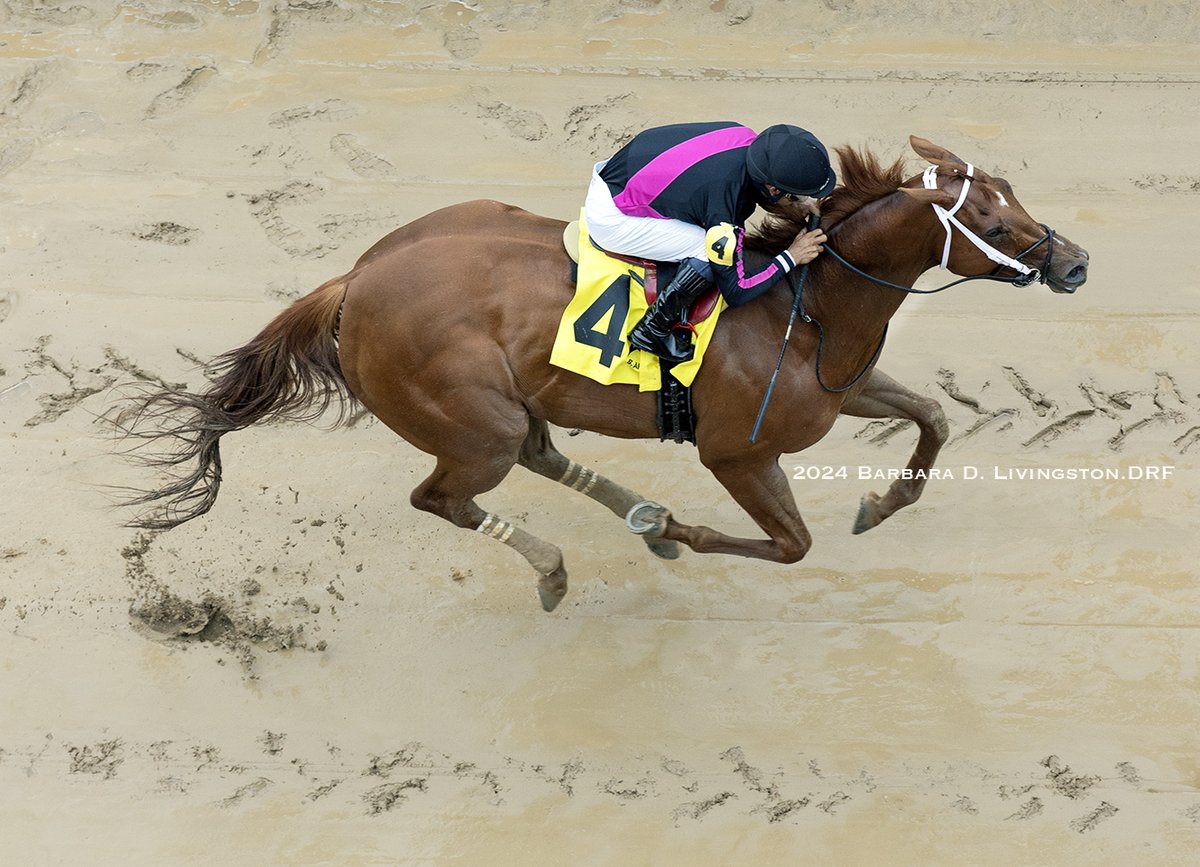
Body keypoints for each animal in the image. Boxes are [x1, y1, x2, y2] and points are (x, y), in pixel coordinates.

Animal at [121, 135, 1089, 607]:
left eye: (1014, 194)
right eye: (992, 223)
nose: (1075, 263)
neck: (806, 308)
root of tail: (353, 281)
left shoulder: (843, 386)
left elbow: (934, 417)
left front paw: (881, 504)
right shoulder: (738, 453)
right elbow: (791, 545)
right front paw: (680, 530)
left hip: (510, 403)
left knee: (543, 453)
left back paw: (631, 512)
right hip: (473, 423)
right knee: (445, 495)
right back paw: (560, 565)